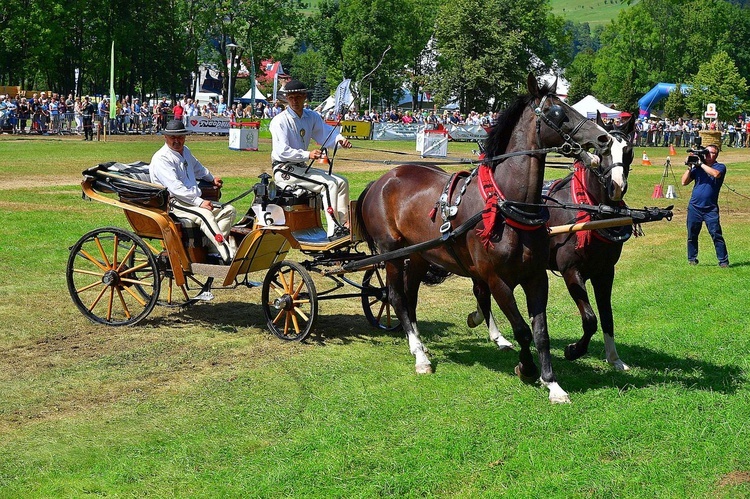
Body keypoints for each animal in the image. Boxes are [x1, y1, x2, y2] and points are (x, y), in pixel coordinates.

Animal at [356, 73, 612, 402]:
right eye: (558, 112)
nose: (604, 139)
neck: (507, 205)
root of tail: (382, 180)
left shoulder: (535, 277)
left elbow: (540, 332)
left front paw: (552, 383)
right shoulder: (496, 279)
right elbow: (522, 330)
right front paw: (526, 369)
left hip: (418, 255)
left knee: (410, 298)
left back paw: (420, 344)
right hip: (392, 253)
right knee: (396, 297)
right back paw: (420, 356)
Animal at [470, 113, 636, 372]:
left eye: (628, 150)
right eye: (603, 150)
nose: (616, 186)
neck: (592, 210)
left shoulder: (605, 271)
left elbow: (607, 315)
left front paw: (614, 358)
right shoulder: (571, 270)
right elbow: (590, 319)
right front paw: (574, 350)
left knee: (481, 289)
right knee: (481, 290)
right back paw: (495, 333)